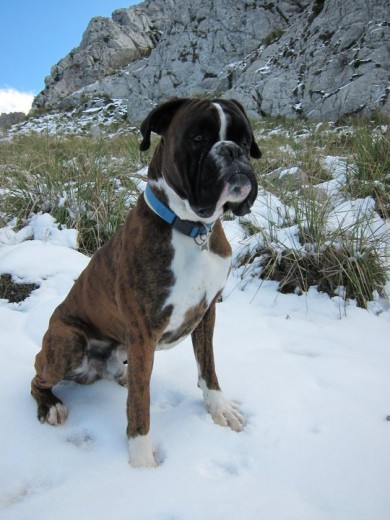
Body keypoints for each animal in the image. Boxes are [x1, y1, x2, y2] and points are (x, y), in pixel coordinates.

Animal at [31, 97, 262, 468]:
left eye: (244, 140)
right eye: (198, 138)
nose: (232, 151)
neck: (190, 228)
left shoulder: (207, 312)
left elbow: (208, 366)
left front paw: (219, 408)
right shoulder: (143, 330)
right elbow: (140, 405)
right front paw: (141, 462)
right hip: (68, 343)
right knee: (37, 377)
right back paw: (50, 405)